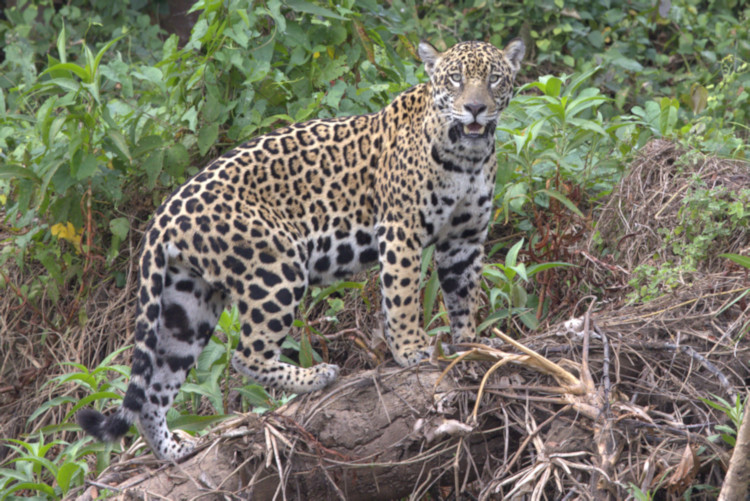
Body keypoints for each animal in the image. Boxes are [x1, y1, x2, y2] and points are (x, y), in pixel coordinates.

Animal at [77, 37, 525, 461]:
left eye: (494, 79)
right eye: (455, 79)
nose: (475, 109)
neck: (467, 157)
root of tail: (164, 215)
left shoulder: (464, 240)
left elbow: (463, 296)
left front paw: (471, 345)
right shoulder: (401, 229)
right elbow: (401, 298)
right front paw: (411, 350)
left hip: (185, 305)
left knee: (155, 389)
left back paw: (173, 451)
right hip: (276, 268)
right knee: (244, 355)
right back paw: (315, 377)